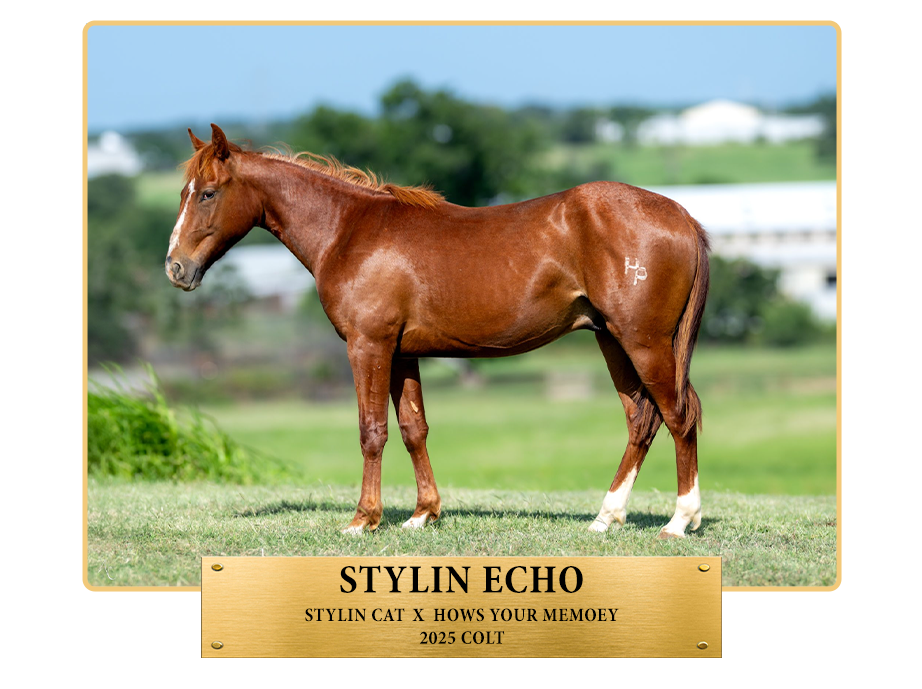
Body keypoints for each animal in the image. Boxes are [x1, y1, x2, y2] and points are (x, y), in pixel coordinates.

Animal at [166, 124, 710, 539]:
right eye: (184, 193)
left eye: (208, 193)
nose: (175, 268)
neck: (349, 230)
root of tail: (681, 215)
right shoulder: (402, 353)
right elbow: (413, 429)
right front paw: (422, 514)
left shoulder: (369, 347)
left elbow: (372, 431)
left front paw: (363, 520)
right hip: (612, 339)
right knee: (642, 420)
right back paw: (605, 516)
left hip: (643, 343)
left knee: (678, 416)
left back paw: (679, 522)